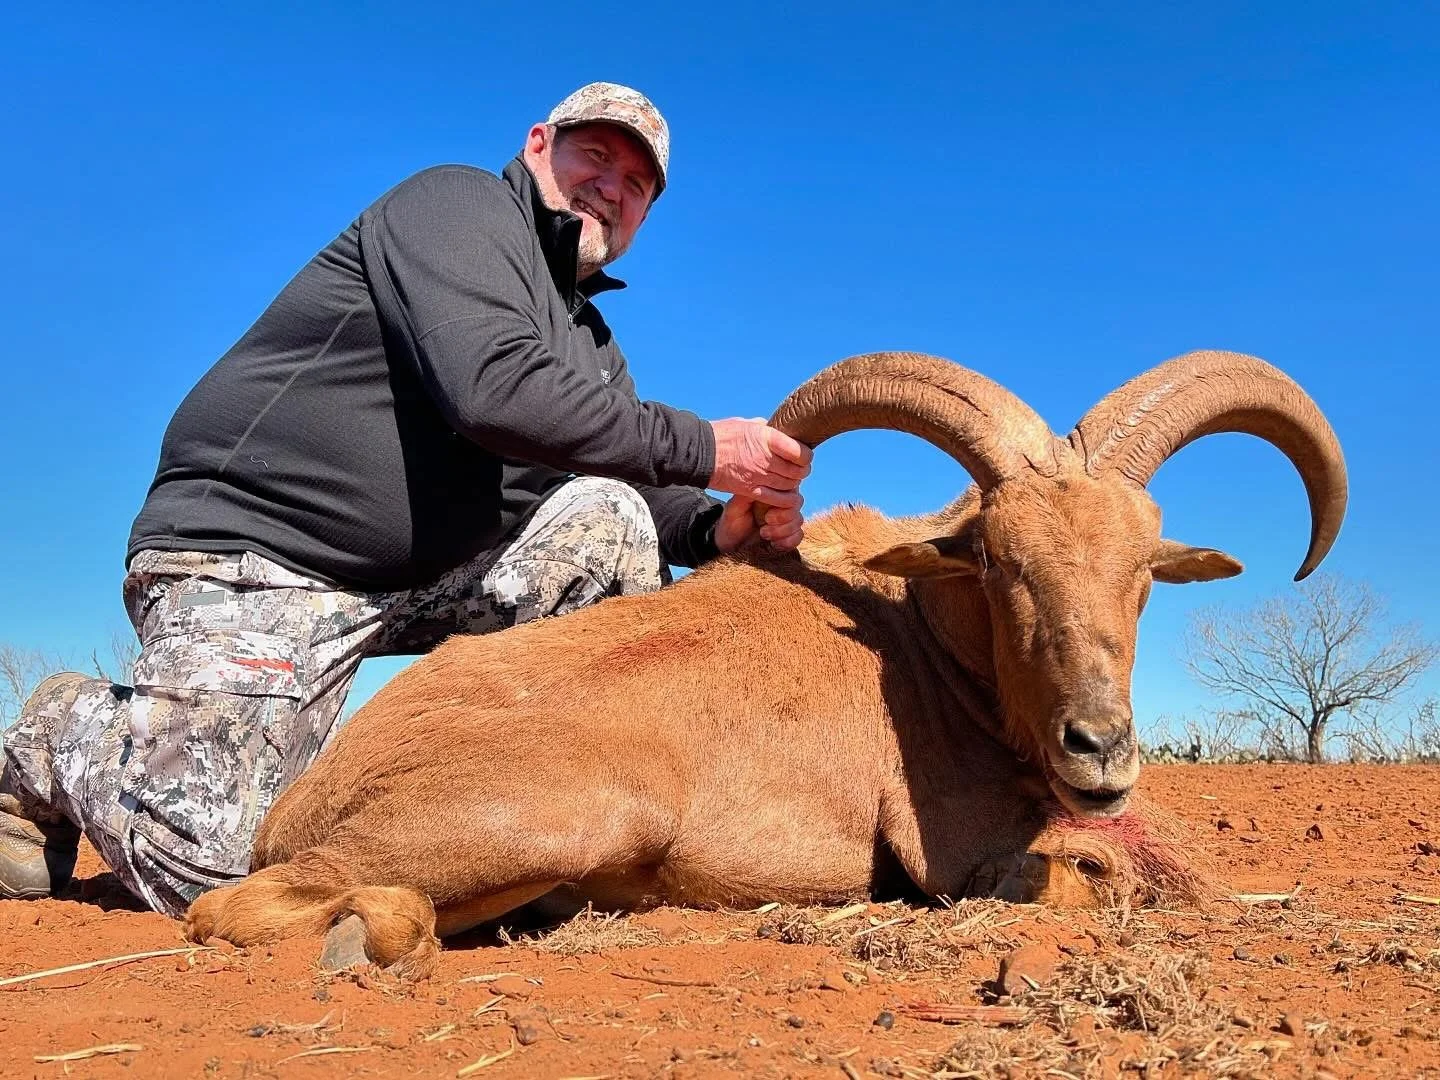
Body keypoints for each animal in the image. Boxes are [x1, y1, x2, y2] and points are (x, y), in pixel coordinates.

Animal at [183, 349, 1347, 978]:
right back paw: (366, 932)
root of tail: (302, 798)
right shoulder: (958, 851)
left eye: (1145, 566)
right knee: (238, 910)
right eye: (995, 559)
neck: (925, 645)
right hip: (553, 818)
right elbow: (1085, 883)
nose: (1098, 751)